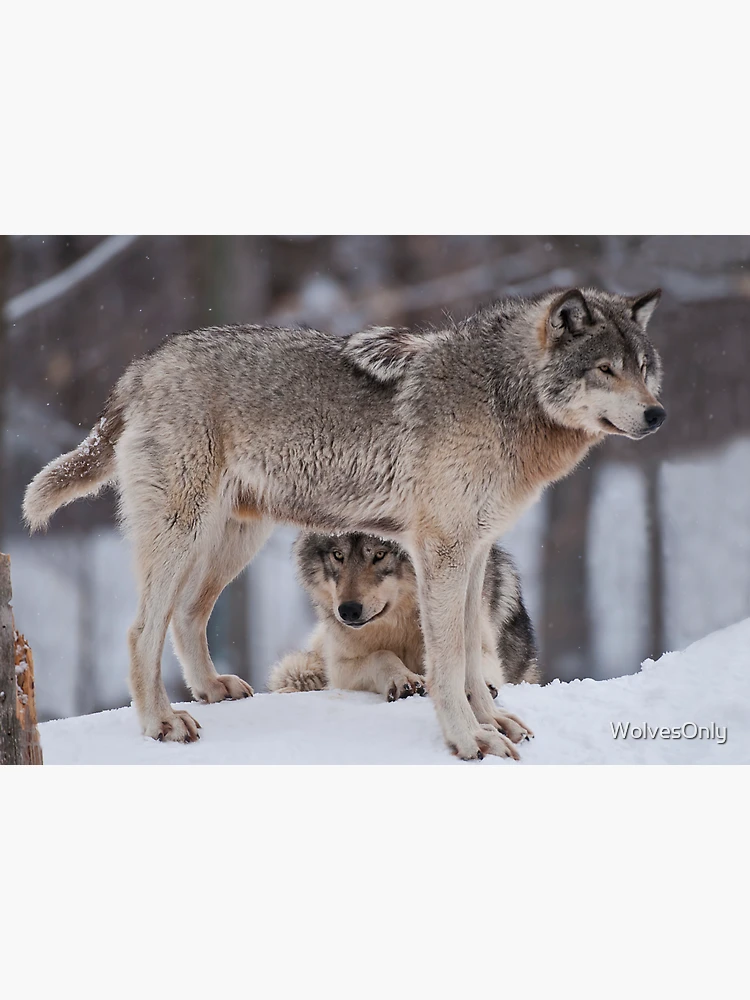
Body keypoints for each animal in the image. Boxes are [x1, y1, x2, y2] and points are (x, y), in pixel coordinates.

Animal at [269, 533, 539, 713]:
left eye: (380, 554)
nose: (348, 611)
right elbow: (381, 655)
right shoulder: (339, 667)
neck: (400, 623)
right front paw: (403, 680)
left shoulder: (481, 645)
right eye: (338, 555)